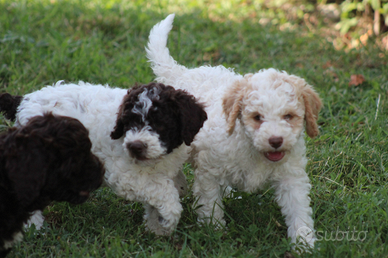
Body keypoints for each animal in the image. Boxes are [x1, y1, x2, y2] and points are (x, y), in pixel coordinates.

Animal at [147, 14, 322, 248]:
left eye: (288, 116)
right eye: (257, 117)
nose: (276, 140)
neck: (252, 148)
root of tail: (182, 72)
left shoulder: (290, 175)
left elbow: (298, 207)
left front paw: (303, 242)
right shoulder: (209, 170)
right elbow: (210, 203)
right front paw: (214, 231)